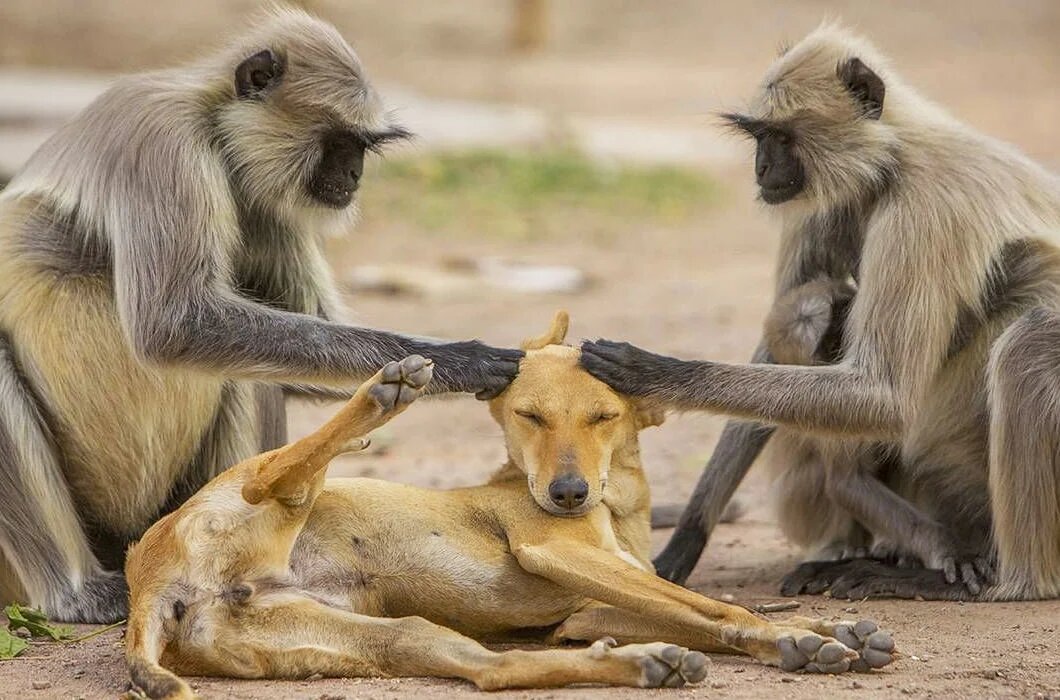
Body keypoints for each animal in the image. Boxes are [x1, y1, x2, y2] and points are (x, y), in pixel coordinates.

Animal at [0, 6, 521, 623]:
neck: (214, 130)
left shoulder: (263, 199)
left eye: (362, 148)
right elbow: (174, 325)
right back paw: (78, 590)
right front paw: (460, 359)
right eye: (340, 142)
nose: (354, 177)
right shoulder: (162, 139)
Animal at [124, 313, 894, 695]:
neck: (618, 508)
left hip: (391, 636)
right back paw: (384, 391)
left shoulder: (581, 612)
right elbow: (719, 607)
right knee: (276, 476)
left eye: (603, 417)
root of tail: (149, 582)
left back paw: (644, 665)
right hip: (261, 493)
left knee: (494, 673)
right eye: (529, 416)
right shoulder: (556, 550)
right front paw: (794, 639)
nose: (567, 493)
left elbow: (698, 609)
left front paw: (827, 633)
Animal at [580, 24, 1060, 598]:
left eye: (782, 139)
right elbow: (775, 351)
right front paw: (687, 538)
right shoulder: (833, 205)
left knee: (1027, 339)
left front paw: (657, 373)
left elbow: (884, 393)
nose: (762, 167)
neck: (892, 161)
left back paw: (1003, 581)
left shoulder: (925, 208)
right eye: (759, 138)